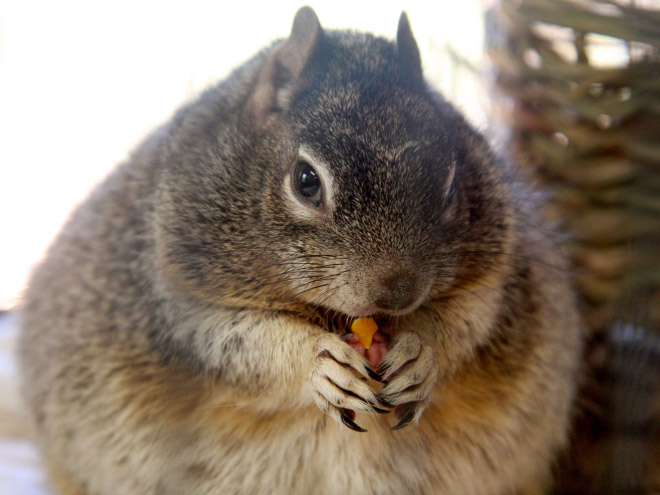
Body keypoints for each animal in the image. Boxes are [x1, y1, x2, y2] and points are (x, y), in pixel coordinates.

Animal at [16, 7, 584, 495]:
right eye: (306, 180)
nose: (398, 292)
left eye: (450, 185)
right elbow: (239, 343)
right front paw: (320, 366)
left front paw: (420, 353)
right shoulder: (176, 292)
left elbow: (466, 321)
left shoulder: (493, 276)